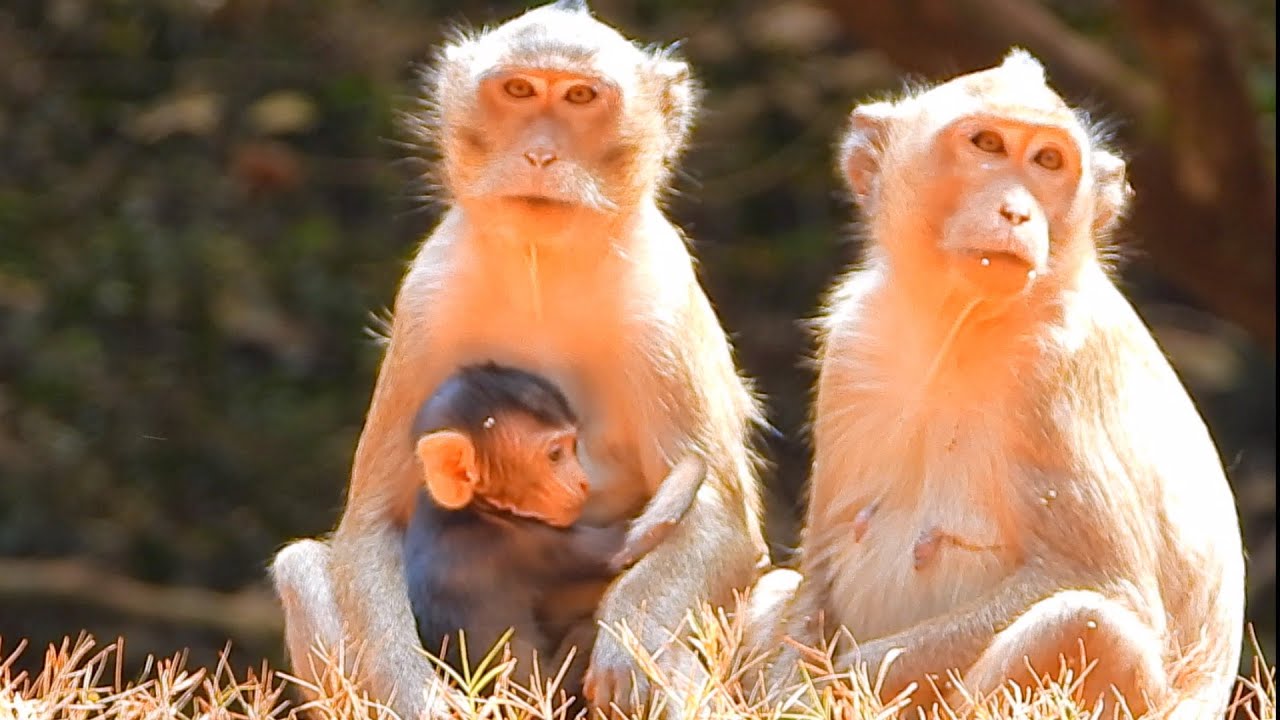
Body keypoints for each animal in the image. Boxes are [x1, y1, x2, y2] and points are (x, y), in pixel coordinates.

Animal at [402, 362, 707, 692]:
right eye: (555, 455)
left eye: (573, 447)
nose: (584, 482)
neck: (472, 509)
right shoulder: (523, 542)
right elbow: (627, 545)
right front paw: (692, 467)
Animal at [759, 49, 1246, 719]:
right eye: (988, 144)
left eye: (1047, 161)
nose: (1016, 211)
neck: (956, 329)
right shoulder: (852, 345)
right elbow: (817, 572)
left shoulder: (1058, 367)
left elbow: (1100, 585)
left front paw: (825, 691)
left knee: (1086, 624)